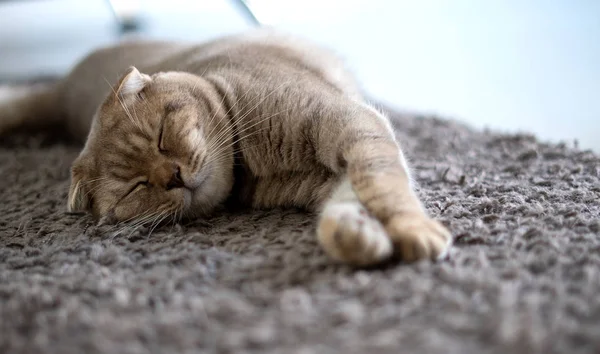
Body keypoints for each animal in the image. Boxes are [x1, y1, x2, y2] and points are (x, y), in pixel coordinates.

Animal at [0, 29, 450, 266]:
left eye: (162, 135)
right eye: (136, 187)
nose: (172, 176)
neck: (254, 163)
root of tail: (62, 94)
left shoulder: (350, 126)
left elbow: (383, 186)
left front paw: (413, 231)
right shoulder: (329, 173)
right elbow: (351, 200)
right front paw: (358, 236)